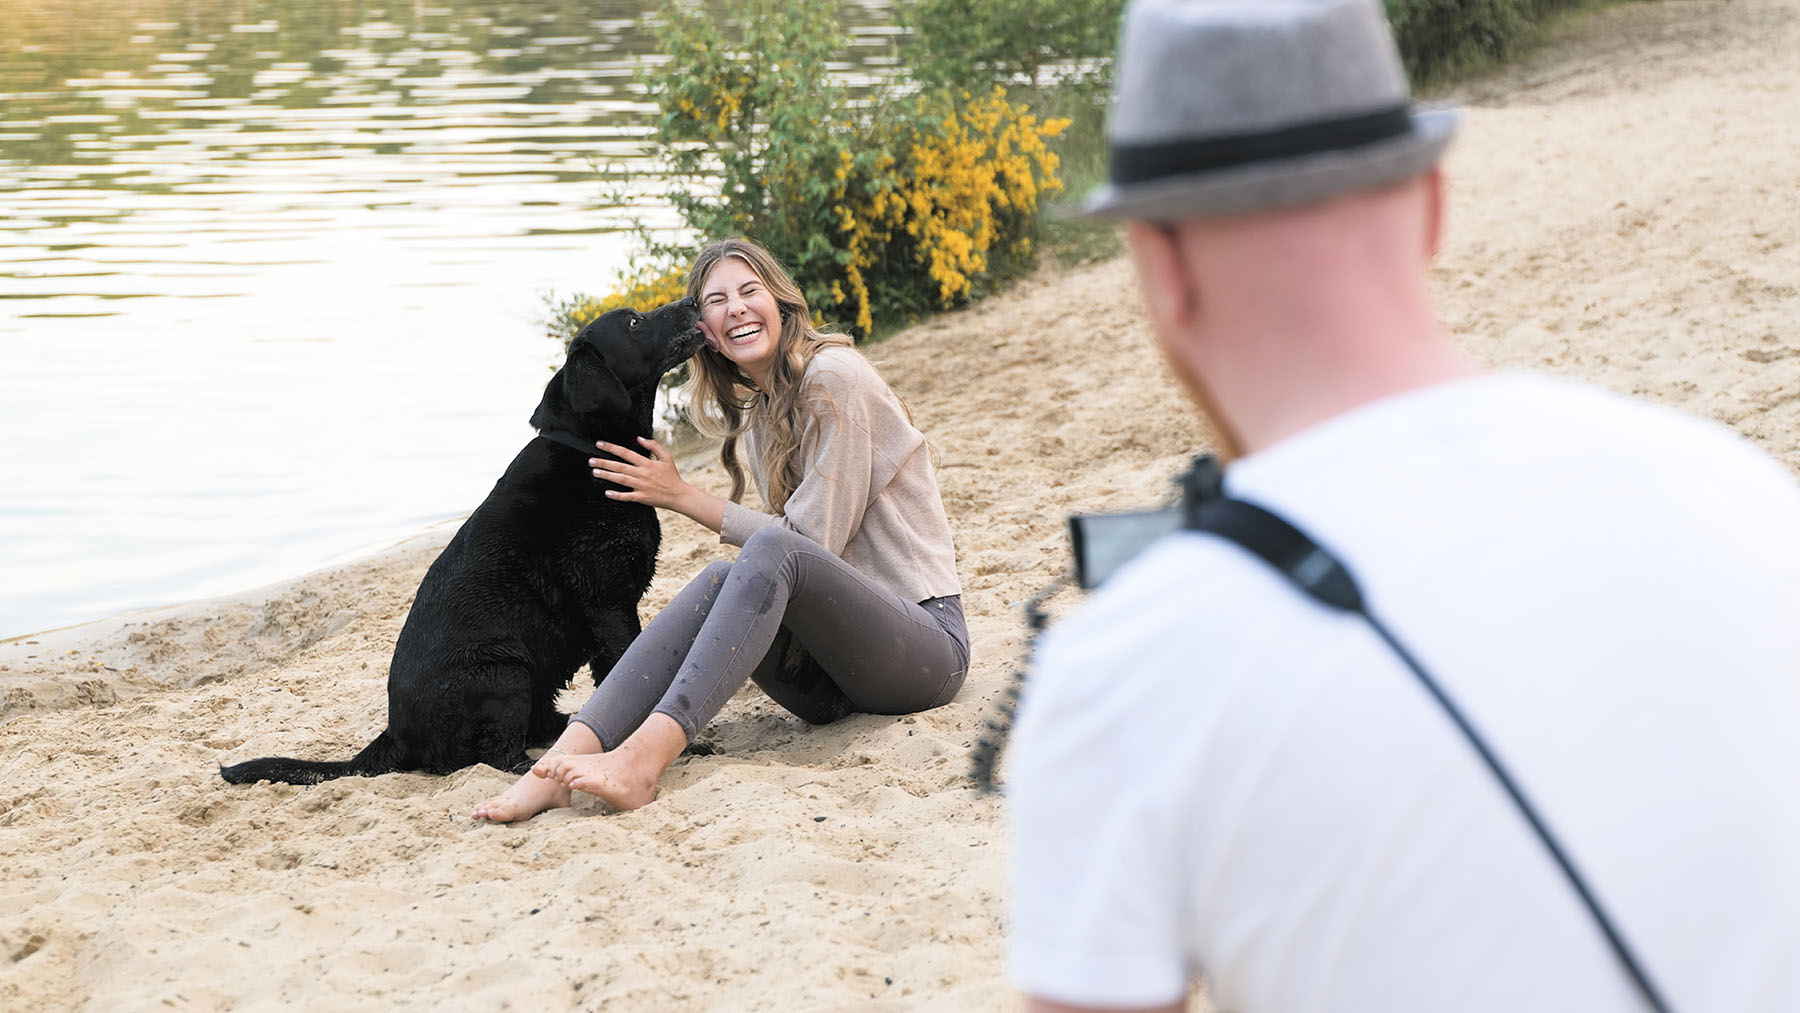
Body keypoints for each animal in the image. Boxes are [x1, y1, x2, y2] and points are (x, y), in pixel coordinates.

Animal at [221, 296, 705, 788]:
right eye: (634, 322)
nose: (692, 300)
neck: (591, 451)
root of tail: (396, 736)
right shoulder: (609, 604)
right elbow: (634, 677)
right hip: (506, 671)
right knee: (499, 755)